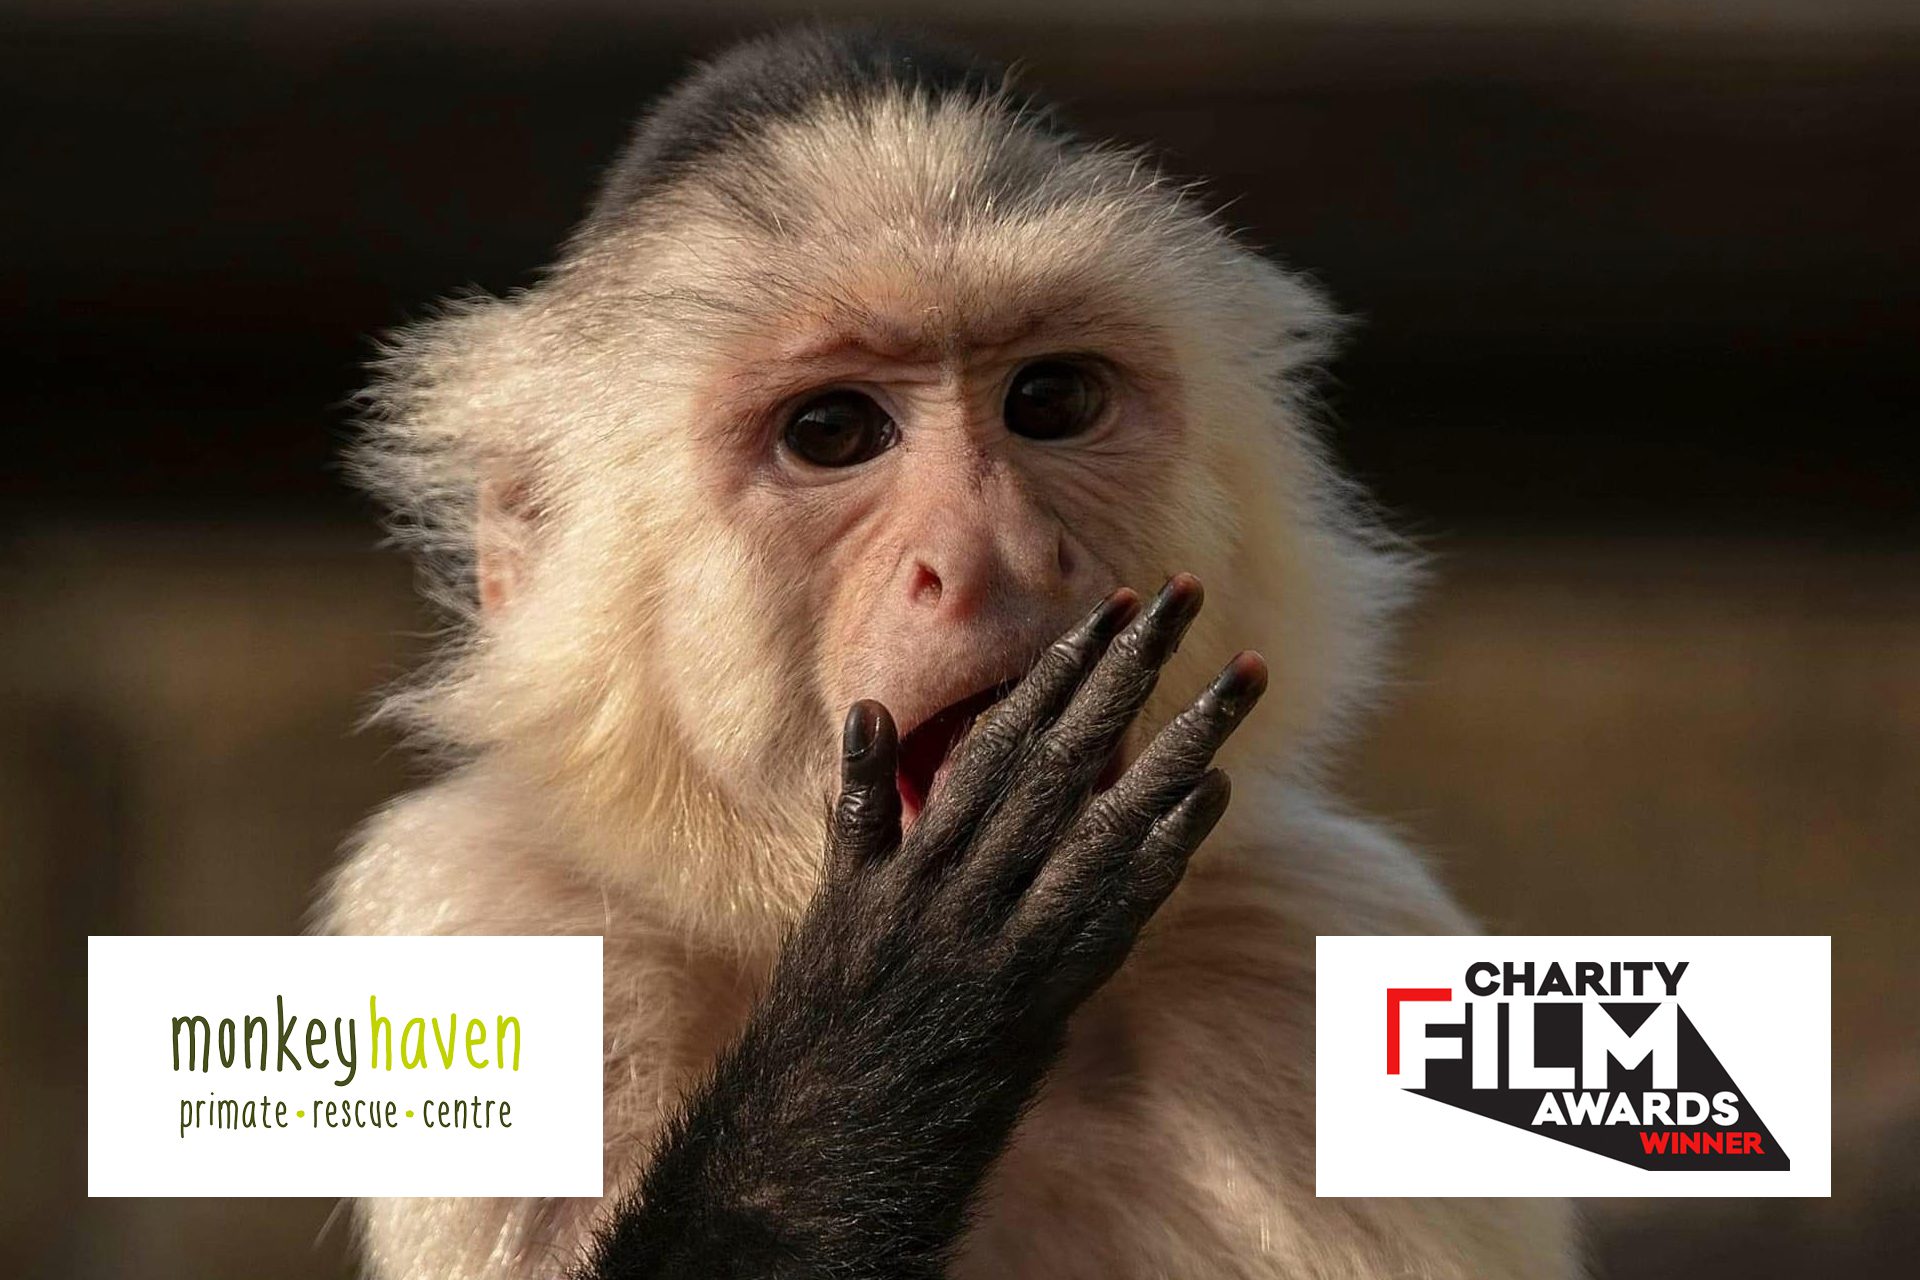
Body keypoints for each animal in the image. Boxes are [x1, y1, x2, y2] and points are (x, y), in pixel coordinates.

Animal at [322, 26, 1578, 1280]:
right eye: (832, 430)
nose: (994, 549)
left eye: (1052, 398)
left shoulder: (1303, 943)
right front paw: (900, 1007)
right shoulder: (495, 906)